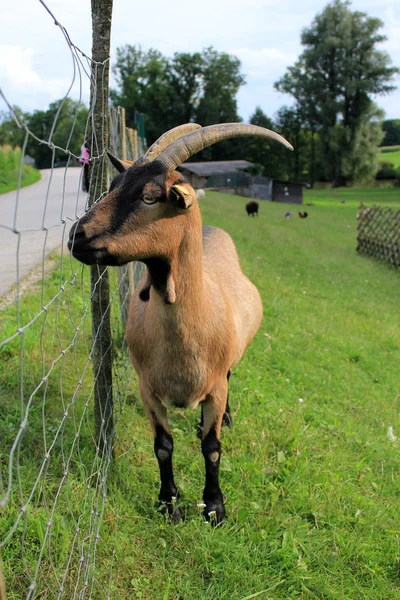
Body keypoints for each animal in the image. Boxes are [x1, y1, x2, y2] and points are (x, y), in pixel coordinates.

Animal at [69, 123, 292, 524]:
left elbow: (212, 446)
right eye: (113, 186)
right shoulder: (148, 389)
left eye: (150, 197)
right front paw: (168, 503)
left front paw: (215, 508)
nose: (76, 236)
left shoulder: (215, 387)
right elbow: (163, 445)